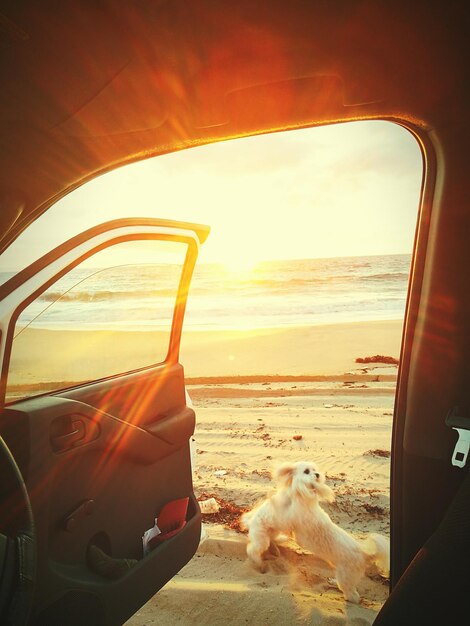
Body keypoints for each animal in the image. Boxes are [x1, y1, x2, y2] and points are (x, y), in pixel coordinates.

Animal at [242, 458, 390, 600]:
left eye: (314, 470)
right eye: (307, 471)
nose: (318, 475)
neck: (300, 496)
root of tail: (365, 554)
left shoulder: (289, 518)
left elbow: (278, 509)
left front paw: (271, 499)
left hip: (346, 575)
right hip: (268, 536)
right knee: (269, 542)